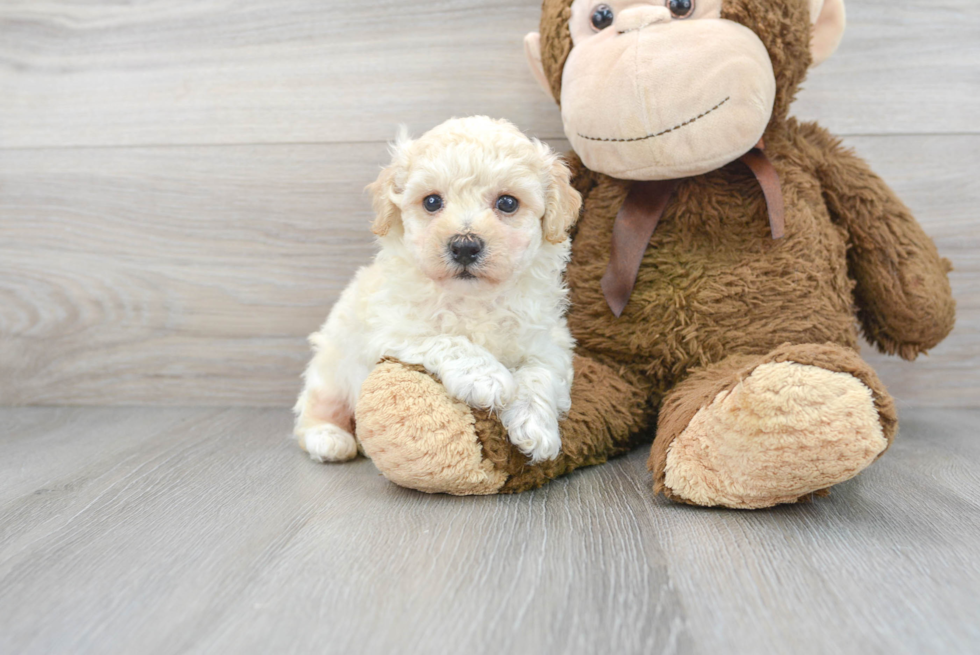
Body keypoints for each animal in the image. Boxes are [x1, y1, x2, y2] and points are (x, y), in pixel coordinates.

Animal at [290, 118, 580, 466]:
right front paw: (486, 378)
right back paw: (329, 439)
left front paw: (536, 428)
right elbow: (449, 340)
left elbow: (541, 373)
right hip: (331, 369)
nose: (465, 246)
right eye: (432, 202)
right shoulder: (394, 330)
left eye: (508, 203)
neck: (474, 298)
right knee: (315, 409)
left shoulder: (550, 340)